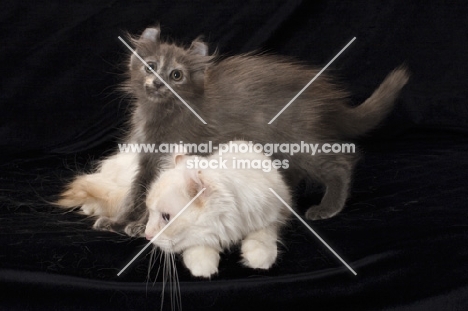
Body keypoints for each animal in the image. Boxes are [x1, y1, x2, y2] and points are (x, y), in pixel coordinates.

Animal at [94, 26, 406, 236]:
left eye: (176, 75)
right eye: (150, 67)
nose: (158, 83)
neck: (162, 113)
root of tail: (325, 97)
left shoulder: (183, 153)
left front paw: (140, 225)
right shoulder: (147, 158)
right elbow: (136, 191)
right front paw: (119, 221)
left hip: (298, 139)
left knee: (340, 162)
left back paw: (328, 206)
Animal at [144, 143, 290, 280]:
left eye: (166, 217)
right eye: (150, 212)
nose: (147, 235)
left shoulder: (276, 212)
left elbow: (263, 234)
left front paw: (258, 257)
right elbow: (198, 246)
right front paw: (202, 267)